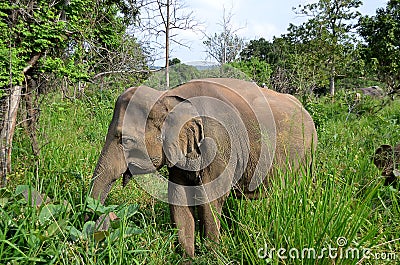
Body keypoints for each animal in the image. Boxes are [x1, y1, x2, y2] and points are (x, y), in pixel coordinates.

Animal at [90, 77, 318, 256]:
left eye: (126, 141)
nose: (109, 217)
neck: (168, 96)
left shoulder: (219, 144)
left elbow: (211, 198)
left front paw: (213, 255)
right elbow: (179, 198)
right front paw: (188, 257)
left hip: (308, 156)